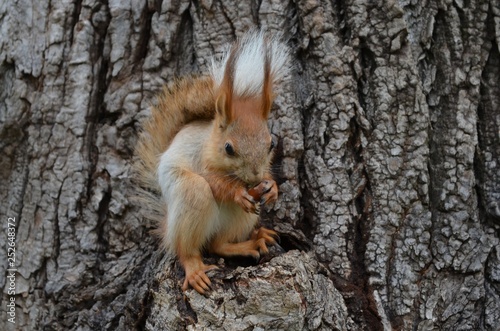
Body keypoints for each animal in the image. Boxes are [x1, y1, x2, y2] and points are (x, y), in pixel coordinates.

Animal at [135, 31, 292, 294]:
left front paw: (271, 188)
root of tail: (167, 226)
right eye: (228, 148)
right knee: (187, 247)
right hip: (191, 196)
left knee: (219, 244)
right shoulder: (200, 161)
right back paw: (195, 270)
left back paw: (252, 241)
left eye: (271, 144)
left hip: (241, 218)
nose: (255, 177)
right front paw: (237, 192)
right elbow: (214, 181)